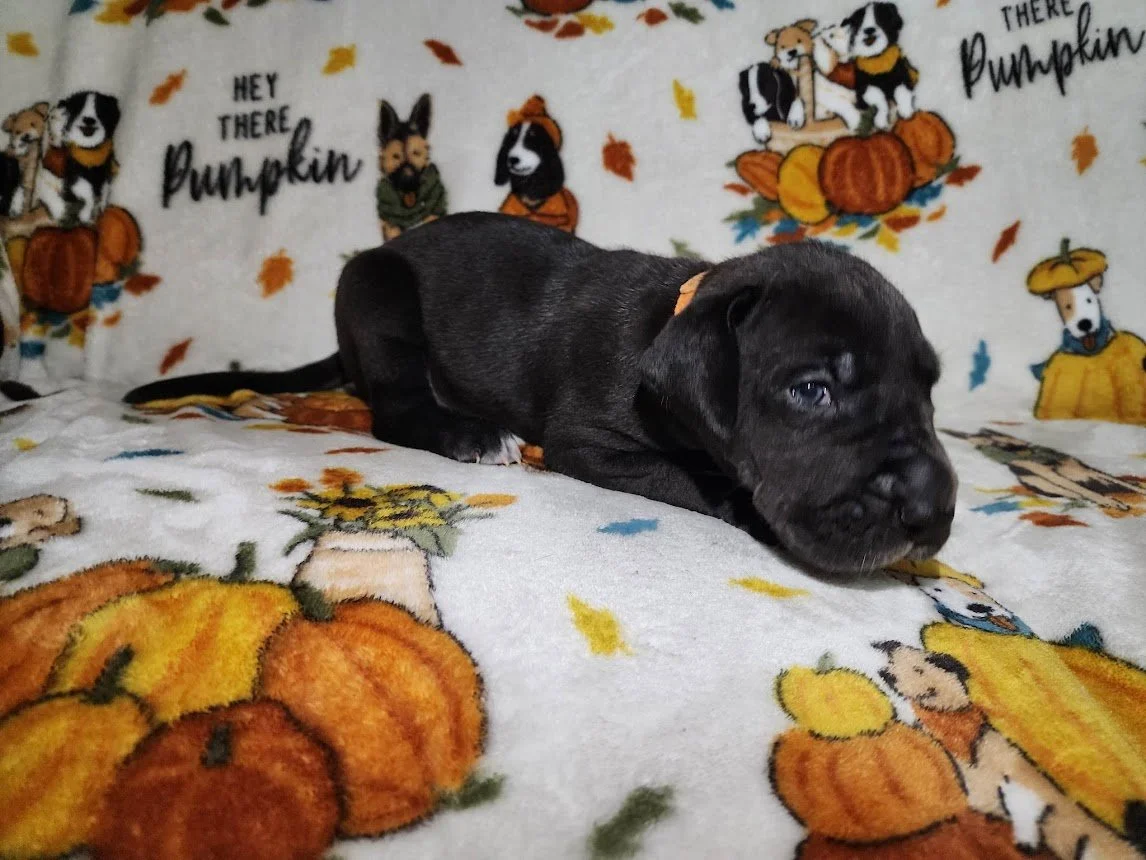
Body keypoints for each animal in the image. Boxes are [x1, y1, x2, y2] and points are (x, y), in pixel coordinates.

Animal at [37, 91, 120, 224]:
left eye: (102, 111)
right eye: (77, 109)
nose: (89, 120)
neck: (89, 151)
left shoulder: (104, 172)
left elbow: (104, 189)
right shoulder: (77, 178)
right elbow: (86, 196)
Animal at [124, 213, 956, 575]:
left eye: (929, 392)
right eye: (812, 390)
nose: (931, 510)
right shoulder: (591, 443)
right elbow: (704, 483)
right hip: (380, 295)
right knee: (395, 408)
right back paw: (470, 434)